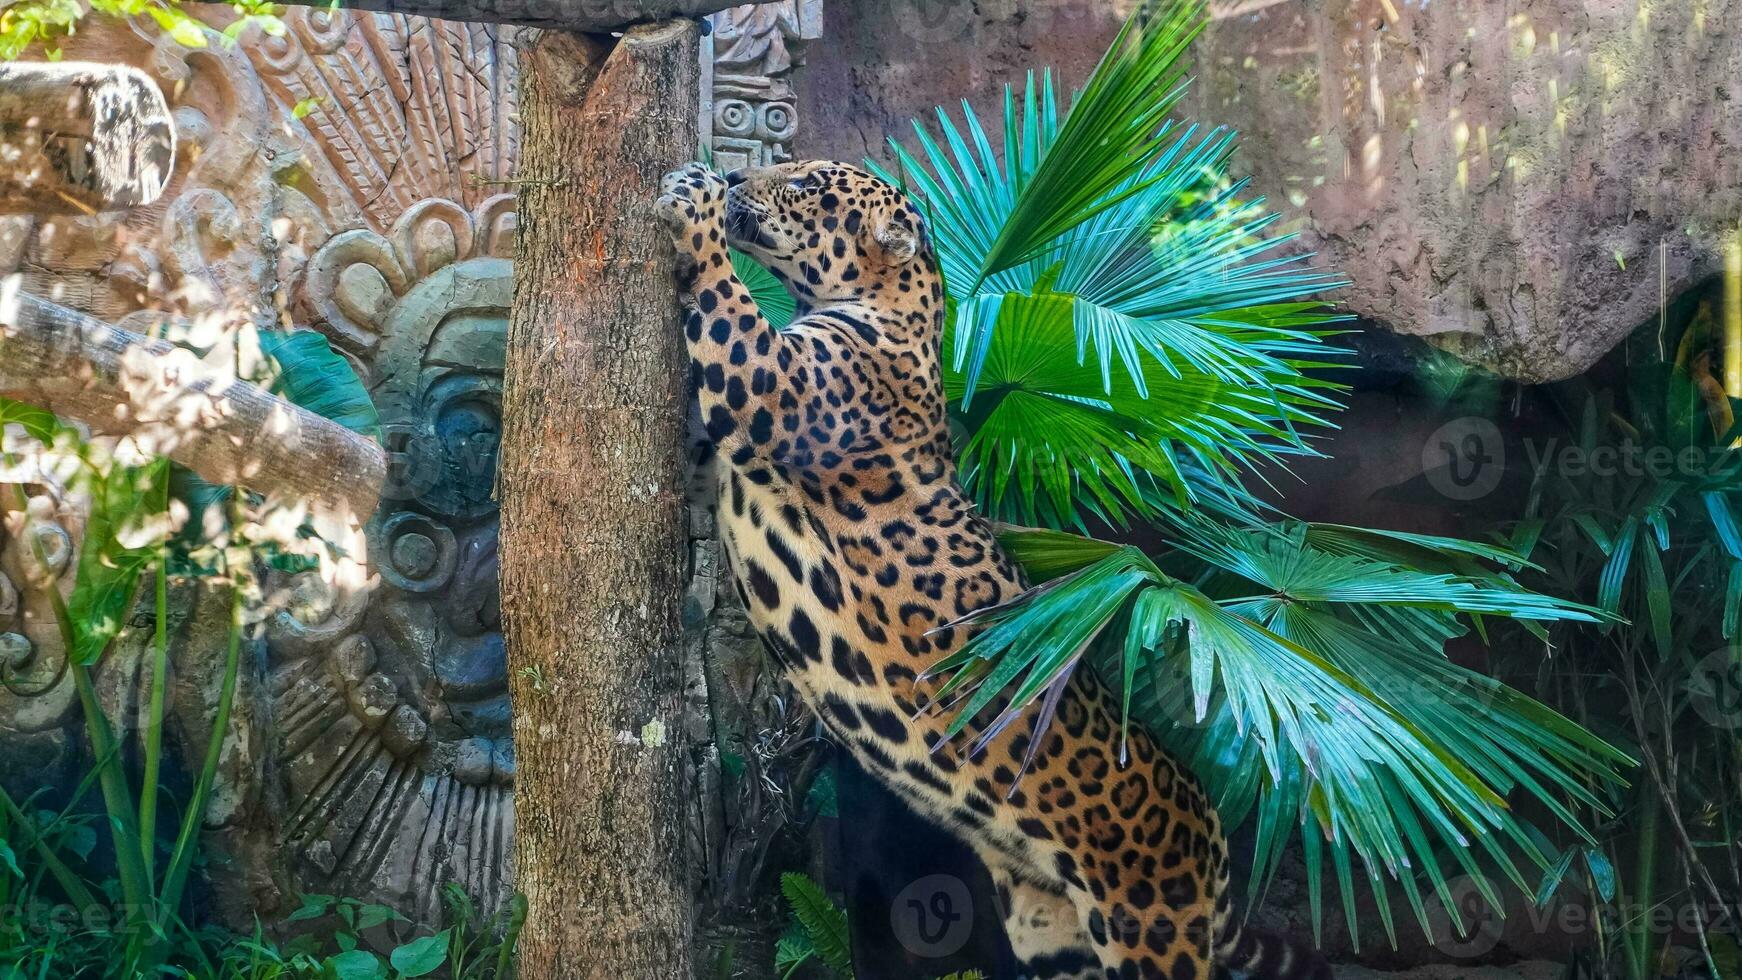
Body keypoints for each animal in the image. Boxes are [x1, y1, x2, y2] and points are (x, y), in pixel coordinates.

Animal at [654, 161, 1330, 980]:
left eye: (808, 185)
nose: (736, 174)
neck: (899, 307)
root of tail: (1208, 828)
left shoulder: (772, 384)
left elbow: (729, 308)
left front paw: (694, 201)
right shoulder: (715, 459)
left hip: (1150, 927)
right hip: (1054, 936)